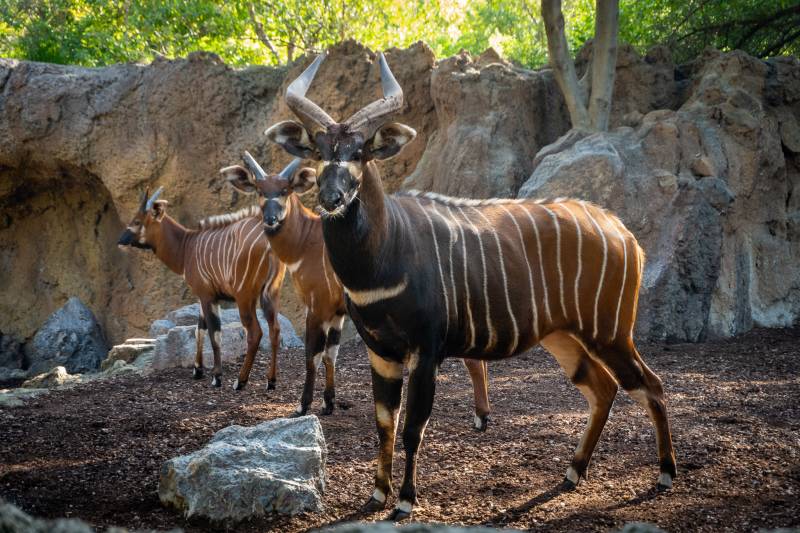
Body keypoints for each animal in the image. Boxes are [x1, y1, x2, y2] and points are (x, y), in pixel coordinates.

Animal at [115, 186, 284, 386]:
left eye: (137, 221)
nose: (120, 240)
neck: (187, 246)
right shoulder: (207, 297)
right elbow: (199, 330)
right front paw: (197, 370)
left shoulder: (206, 295)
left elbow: (214, 334)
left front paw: (216, 376)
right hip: (270, 294)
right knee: (275, 330)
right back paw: (271, 381)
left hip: (244, 297)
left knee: (255, 333)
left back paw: (240, 381)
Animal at [220, 154, 494, 424]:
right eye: (259, 190)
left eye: (285, 190)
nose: (271, 220)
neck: (304, 243)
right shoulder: (337, 313)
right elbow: (331, 354)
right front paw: (328, 403)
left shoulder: (317, 307)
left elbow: (312, 355)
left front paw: (302, 406)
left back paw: (481, 417)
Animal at [268, 54, 676, 520]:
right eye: (319, 152)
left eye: (360, 153)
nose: (332, 198)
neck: (386, 255)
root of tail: (624, 233)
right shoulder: (382, 353)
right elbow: (384, 423)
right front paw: (376, 494)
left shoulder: (427, 351)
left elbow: (412, 428)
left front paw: (405, 501)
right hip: (564, 336)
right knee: (603, 389)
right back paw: (573, 473)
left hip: (611, 333)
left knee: (650, 385)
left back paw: (665, 475)